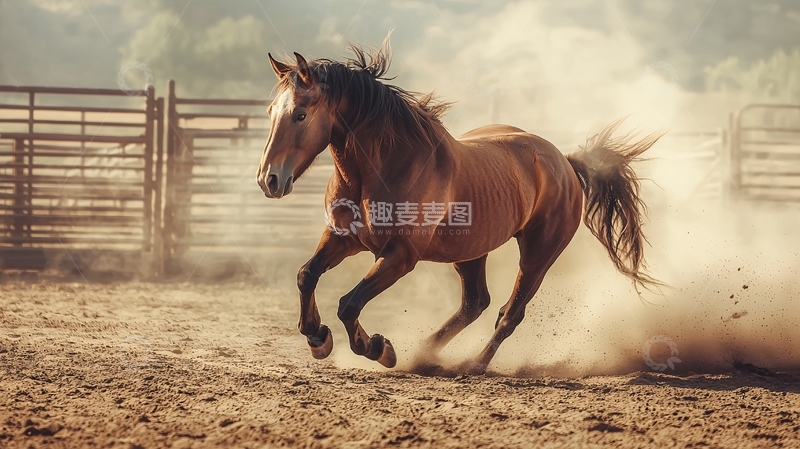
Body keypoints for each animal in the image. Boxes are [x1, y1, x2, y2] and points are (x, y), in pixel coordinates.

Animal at [256, 40, 663, 374]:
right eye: (271, 111)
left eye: (301, 114)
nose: (268, 179)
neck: (383, 167)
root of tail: (565, 161)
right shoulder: (343, 238)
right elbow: (307, 275)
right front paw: (317, 338)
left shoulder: (400, 255)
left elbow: (349, 304)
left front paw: (379, 348)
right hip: (470, 252)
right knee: (475, 303)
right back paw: (425, 354)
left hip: (538, 254)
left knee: (509, 313)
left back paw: (472, 364)